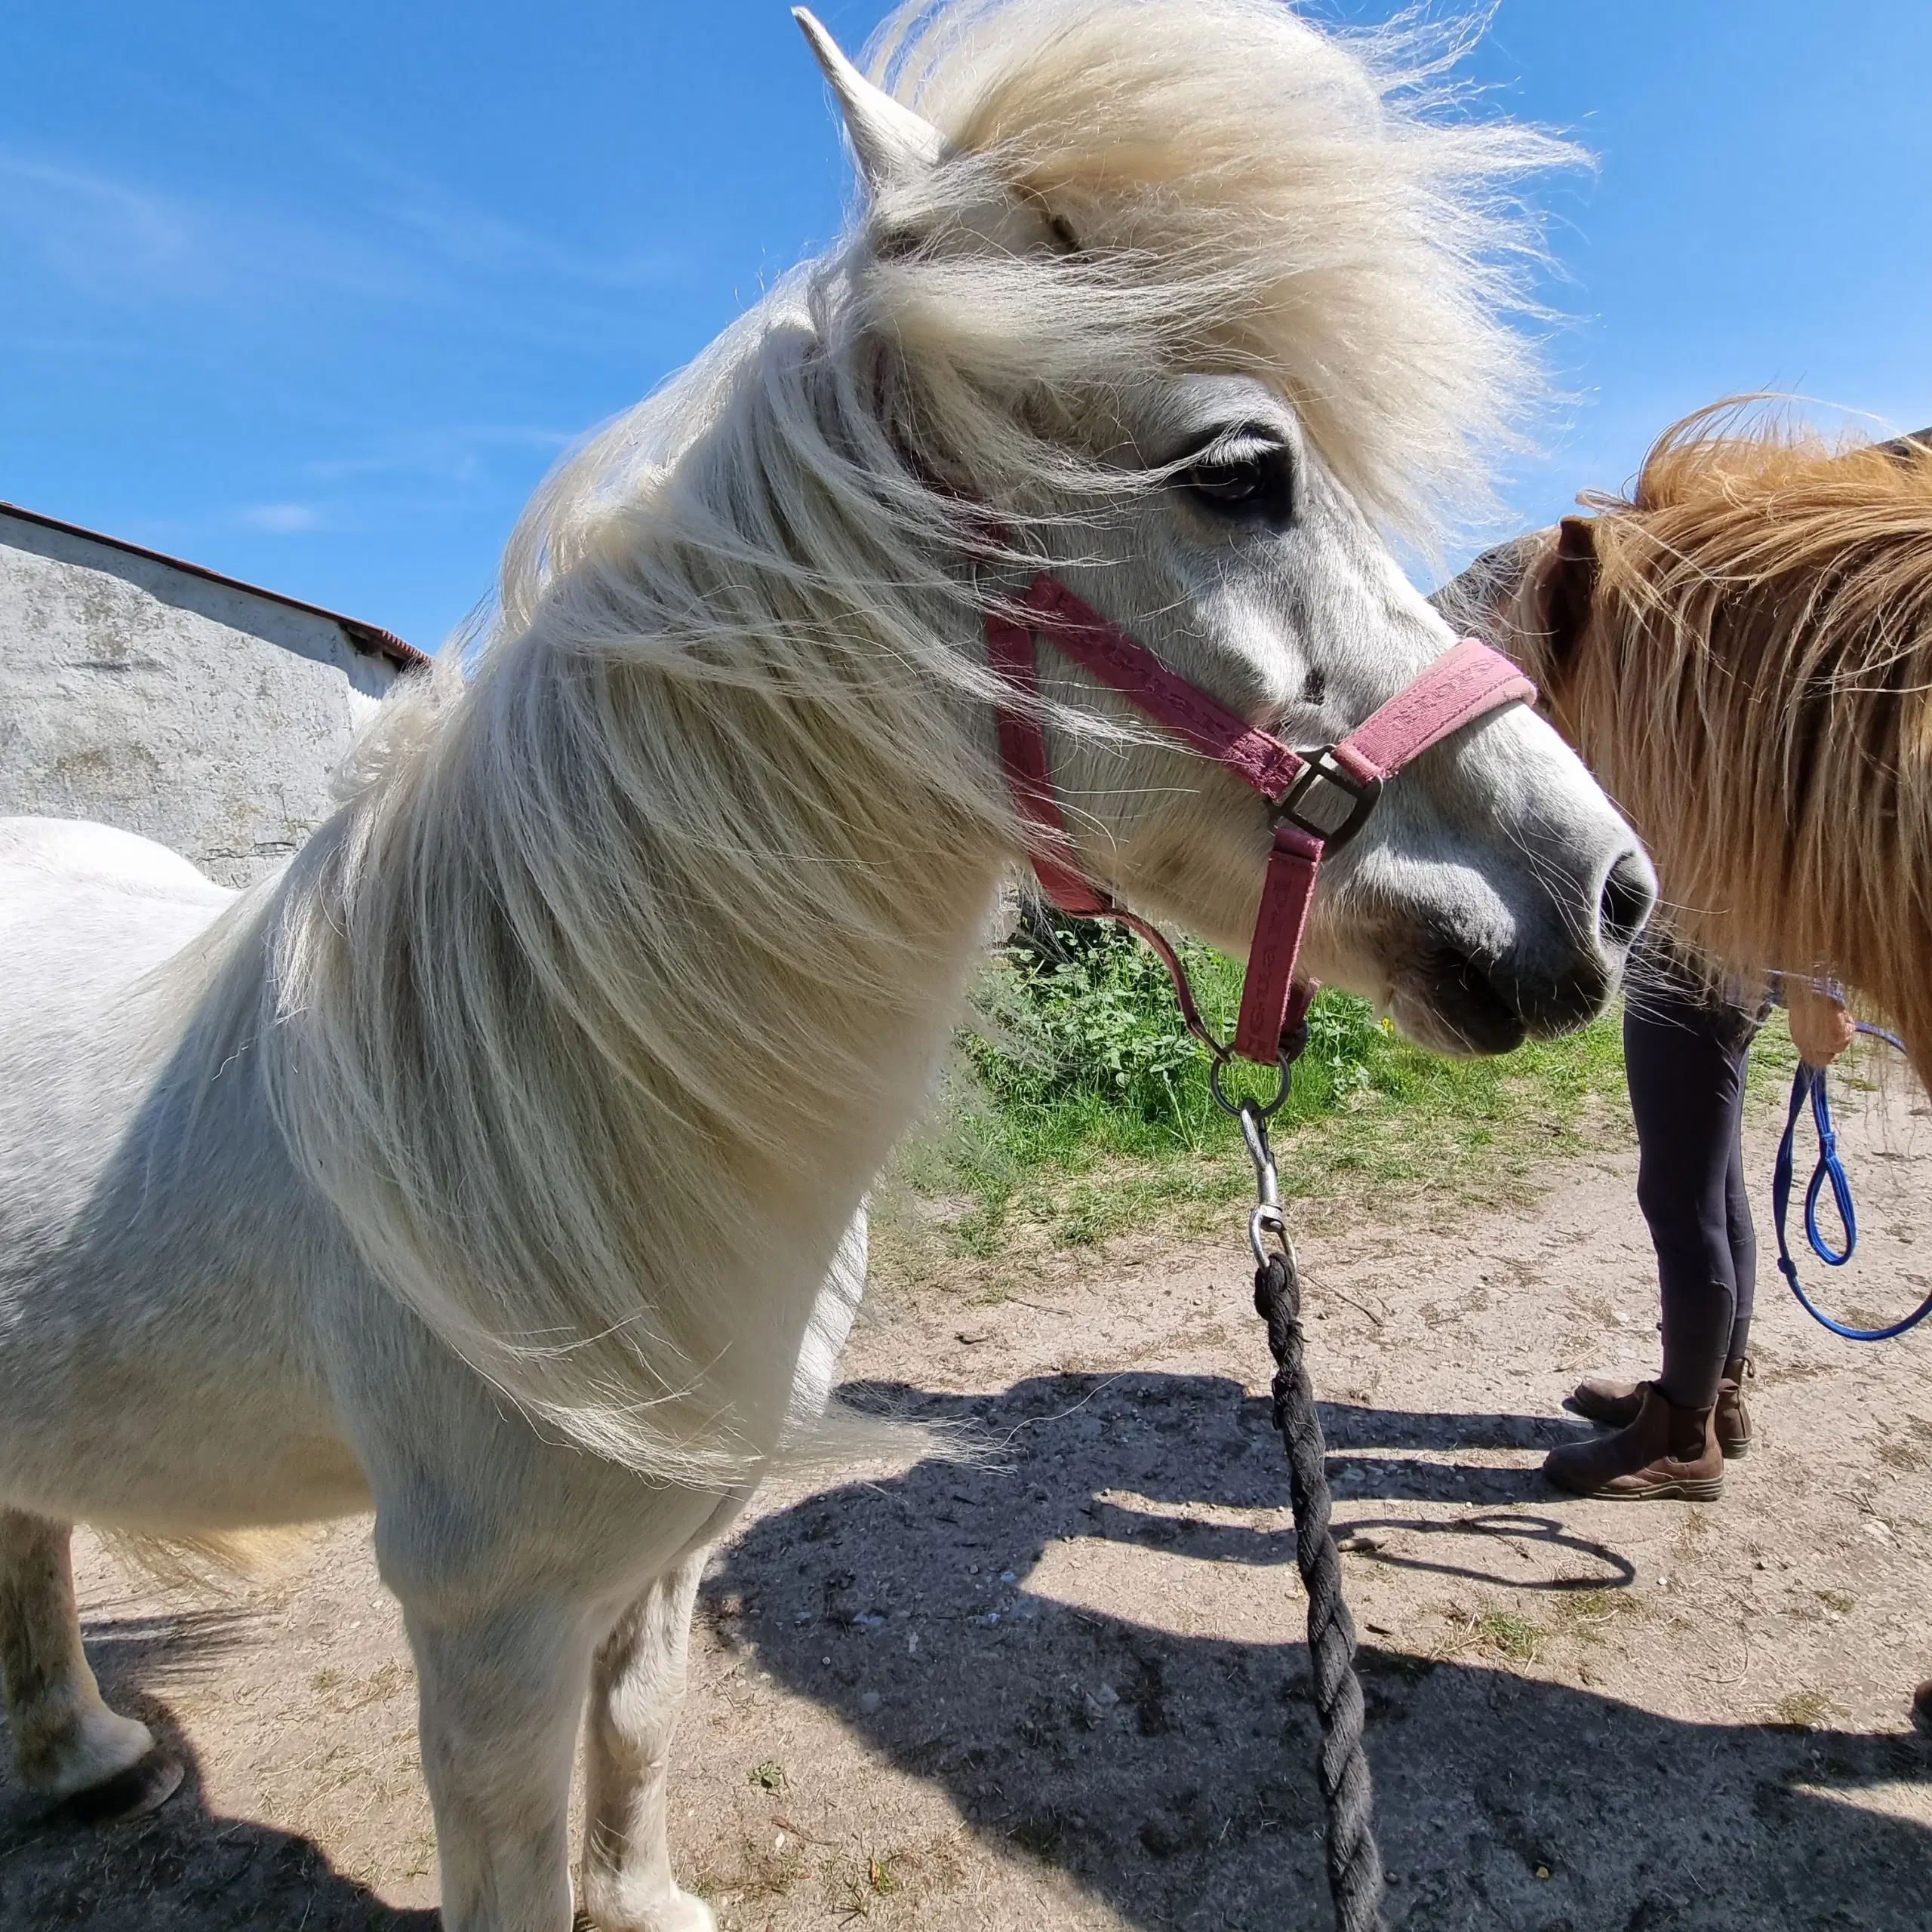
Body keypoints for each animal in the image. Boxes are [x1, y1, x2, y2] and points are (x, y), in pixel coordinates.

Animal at [4, 8, 1646, 1924]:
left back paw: (83, 1752)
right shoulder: (484, 1620)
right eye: (1240, 471)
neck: (537, 1094)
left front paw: (643, 1903)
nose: (1610, 889)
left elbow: (640, 1729)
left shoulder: (661, 1545)